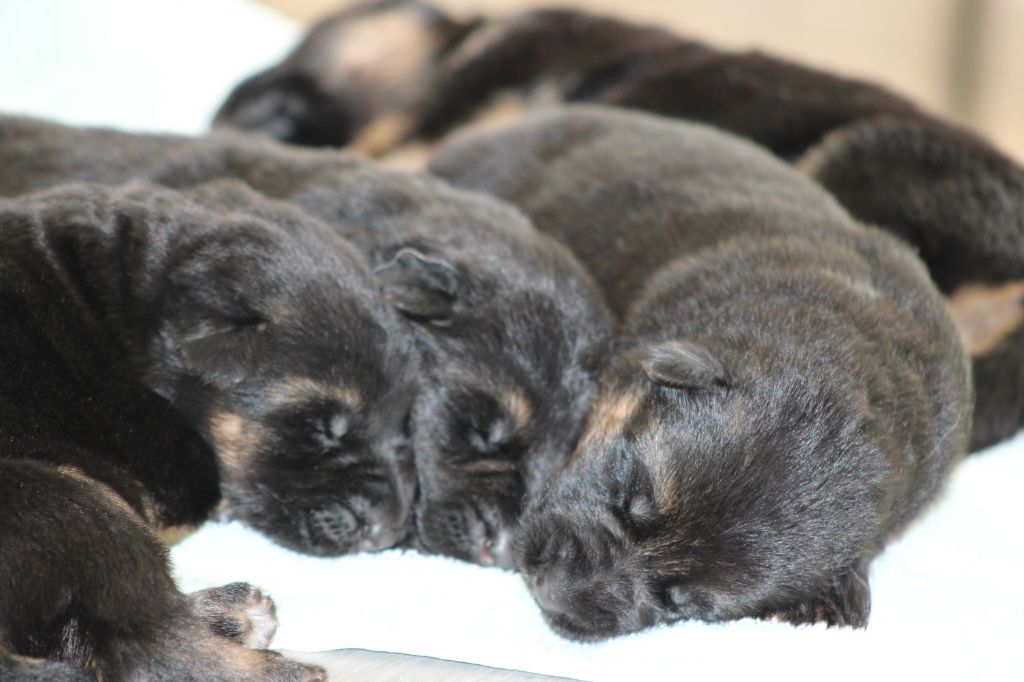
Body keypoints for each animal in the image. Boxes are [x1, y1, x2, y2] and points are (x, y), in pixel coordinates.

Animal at [0, 178, 417, 675]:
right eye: (322, 429)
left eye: (402, 424)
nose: (389, 532)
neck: (122, 308)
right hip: (70, 498)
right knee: (153, 647)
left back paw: (232, 614)